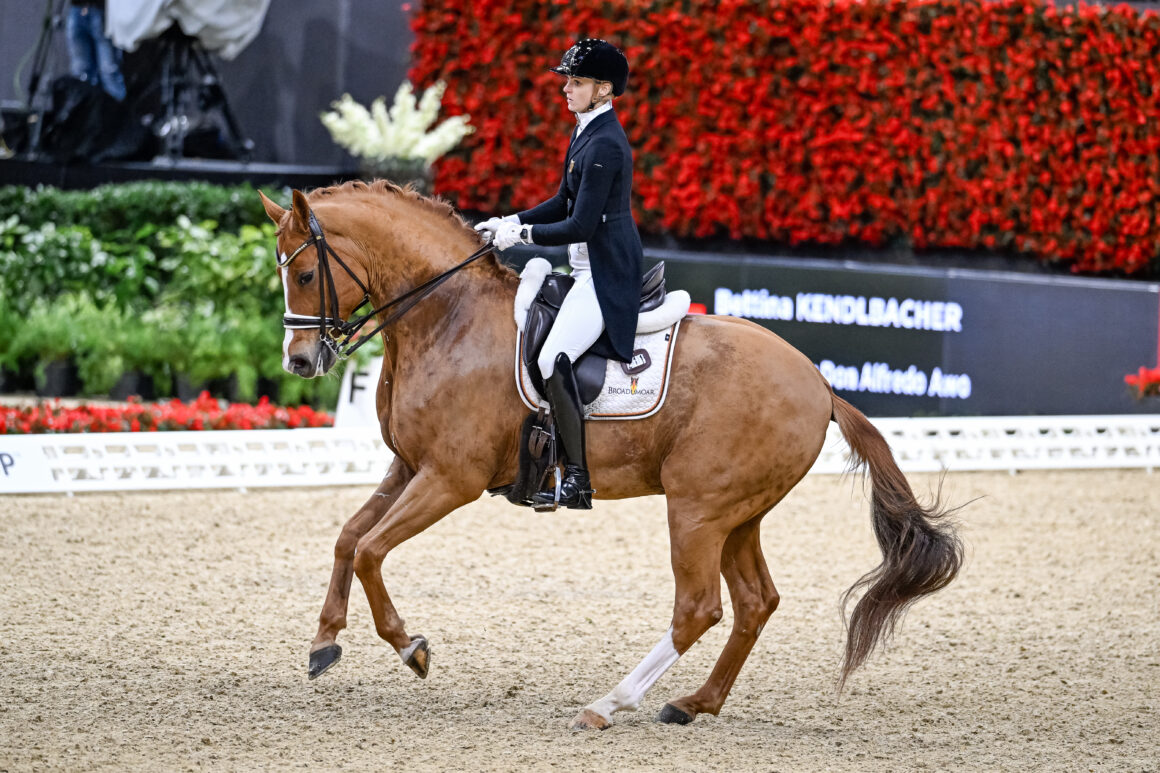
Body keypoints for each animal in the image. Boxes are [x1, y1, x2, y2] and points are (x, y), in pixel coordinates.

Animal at [261, 181, 960, 728]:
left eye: (304, 274)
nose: (300, 362)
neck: (446, 316)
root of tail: (819, 383)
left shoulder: (449, 479)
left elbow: (372, 550)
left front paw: (412, 648)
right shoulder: (407, 465)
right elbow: (349, 538)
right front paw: (324, 643)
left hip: (697, 509)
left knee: (698, 607)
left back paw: (608, 704)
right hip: (738, 513)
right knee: (755, 602)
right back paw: (692, 703)